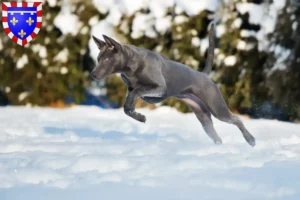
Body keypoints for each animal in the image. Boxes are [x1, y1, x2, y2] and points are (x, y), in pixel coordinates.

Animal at [91, 25, 255, 147]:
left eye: (107, 60)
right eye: (98, 59)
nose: (93, 74)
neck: (130, 65)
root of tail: (204, 75)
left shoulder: (160, 88)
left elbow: (137, 92)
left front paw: (139, 115)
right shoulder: (131, 89)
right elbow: (128, 105)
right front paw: (139, 116)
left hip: (217, 107)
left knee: (236, 119)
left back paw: (251, 140)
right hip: (203, 115)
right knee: (214, 133)